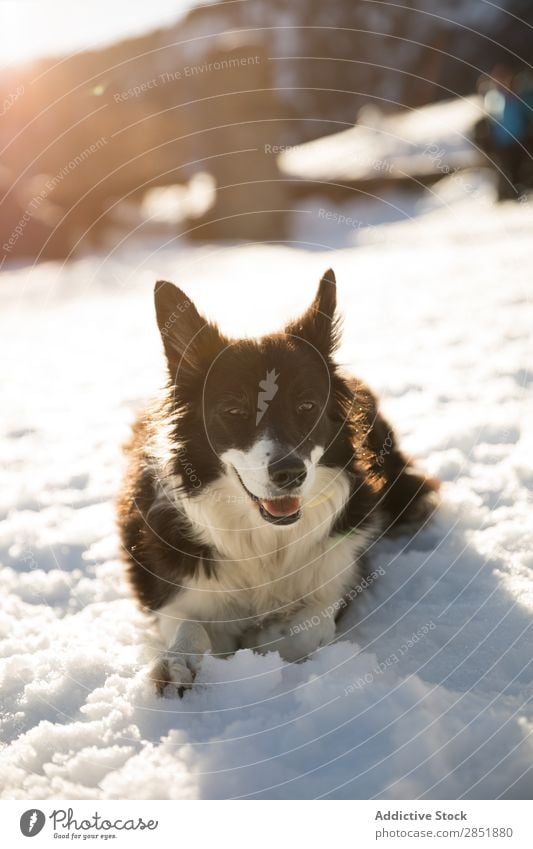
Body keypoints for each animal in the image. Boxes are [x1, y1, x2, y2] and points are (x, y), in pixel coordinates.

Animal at [118, 268, 438, 692]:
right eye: (234, 410)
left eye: (306, 405)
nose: (290, 473)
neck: (265, 541)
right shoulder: (179, 592)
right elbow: (189, 627)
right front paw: (175, 663)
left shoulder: (341, 574)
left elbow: (309, 629)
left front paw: (265, 638)